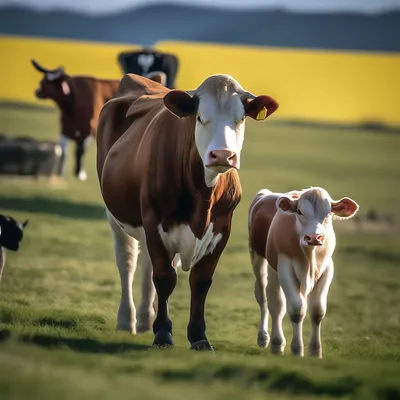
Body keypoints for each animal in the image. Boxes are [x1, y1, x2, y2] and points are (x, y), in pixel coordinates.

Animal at [96, 73, 278, 348]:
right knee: (127, 260)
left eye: (240, 119)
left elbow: (200, 281)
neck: (203, 197)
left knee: (147, 264)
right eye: (200, 117)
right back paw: (127, 320)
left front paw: (199, 336)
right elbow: (164, 277)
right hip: (116, 216)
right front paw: (163, 333)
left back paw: (145, 319)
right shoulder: (154, 221)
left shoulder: (222, 228)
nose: (223, 155)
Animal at [248, 188, 358, 360]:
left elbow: (317, 310)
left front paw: (315, 351)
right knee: (266, 300)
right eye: (300, 212)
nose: (314, 237)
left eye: (328, 213)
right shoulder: (285, 267)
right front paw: (297, 349)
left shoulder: (327, 269)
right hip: (257, 258)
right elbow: (296, 309)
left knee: (275, 302)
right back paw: (268, 339)